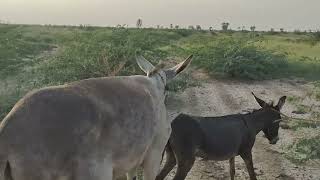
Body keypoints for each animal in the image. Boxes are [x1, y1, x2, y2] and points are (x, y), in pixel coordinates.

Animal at [156, 92, 286, 179]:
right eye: (279, 121)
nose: (275, 140)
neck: (250, 123)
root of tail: (172, 122)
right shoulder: (246, 152)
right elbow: (252, 175)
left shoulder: (232, 154)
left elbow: (232, 172)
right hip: (187, 159)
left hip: (171, 156)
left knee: (159, 176)